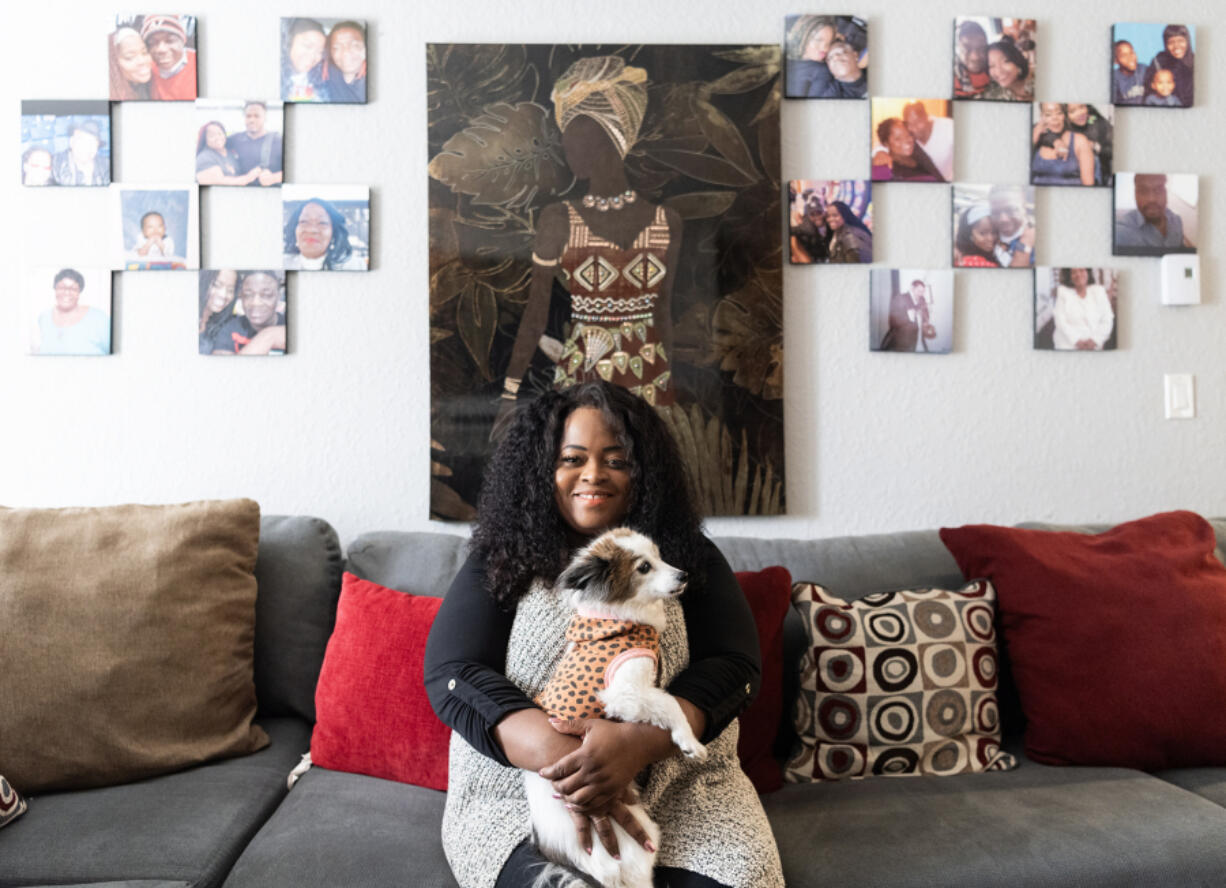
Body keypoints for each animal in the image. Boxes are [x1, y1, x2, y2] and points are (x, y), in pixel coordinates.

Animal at [522, 529, 706, 883]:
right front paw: (689, 741)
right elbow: (669, 702)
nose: (684, 575)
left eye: (660, 556)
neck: (618, 617)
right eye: (644, 567)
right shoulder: (624, 693)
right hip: (642, 841)